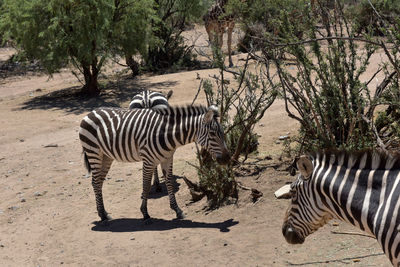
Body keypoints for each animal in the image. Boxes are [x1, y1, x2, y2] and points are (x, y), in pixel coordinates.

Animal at [78, 104, 230, 224]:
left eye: (222, 132)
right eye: (212, 134)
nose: (227, 158)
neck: (167, 134)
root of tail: (91, 112)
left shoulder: (167, 158)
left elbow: (169, 182)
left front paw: (177, 210)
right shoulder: (148, 160)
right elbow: (145, 186)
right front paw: (145, 214)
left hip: (106, 156)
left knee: (98, 182)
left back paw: (103, 213)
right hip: (94, 153)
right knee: (95, 182)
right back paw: (102, 216)